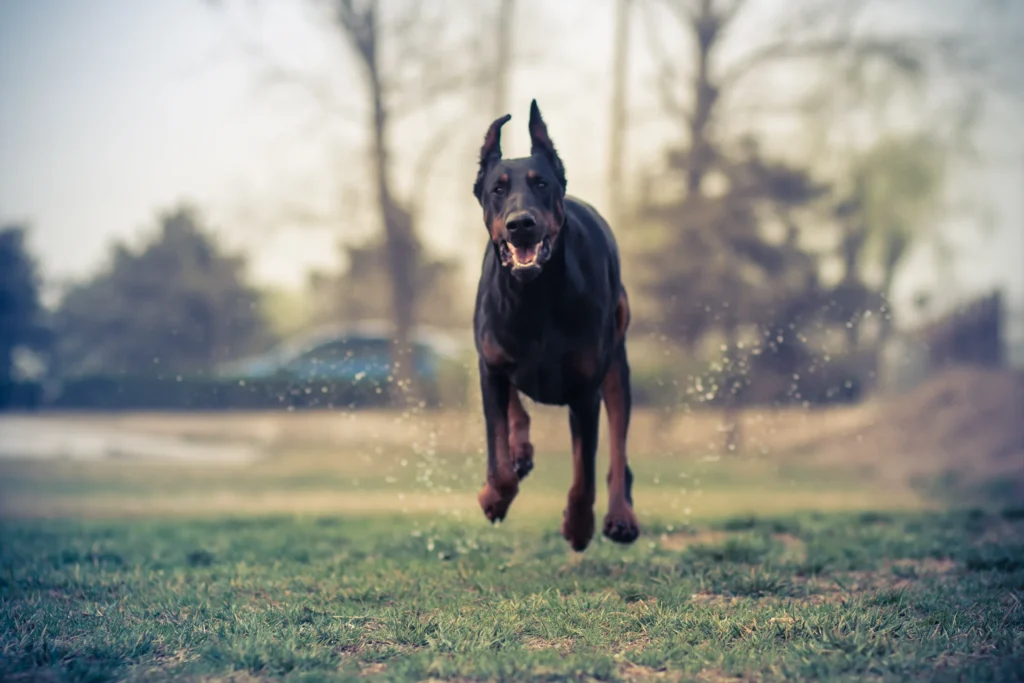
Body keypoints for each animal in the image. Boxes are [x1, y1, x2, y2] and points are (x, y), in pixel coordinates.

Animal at [471, 100, 638, 548]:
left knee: (619, 448)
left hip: (616, 359)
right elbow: (497, 459)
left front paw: (578, 527)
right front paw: (494, 497)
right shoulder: (489, 364)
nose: (520, 223)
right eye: (498, 188)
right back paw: (521, 449)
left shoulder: (585, 391)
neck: (536, 297)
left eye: (541, 184)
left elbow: (585, 474)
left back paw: (621, 516)